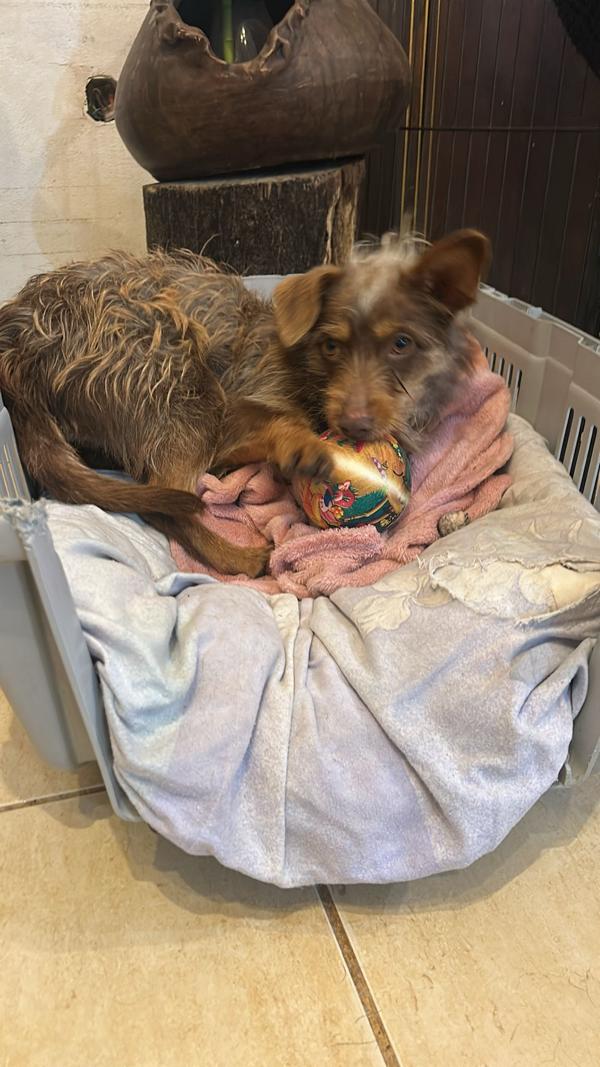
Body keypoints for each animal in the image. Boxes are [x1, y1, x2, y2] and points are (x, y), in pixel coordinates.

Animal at [0, 229, 490, 576]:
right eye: (332, 345)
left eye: (401, 344)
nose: (353, 426)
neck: (305, 367)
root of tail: (18, 341)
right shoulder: (236, 405)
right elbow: (280, 425)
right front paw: (302, 445)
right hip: (177, 375)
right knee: (164, 502)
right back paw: (239, 558)